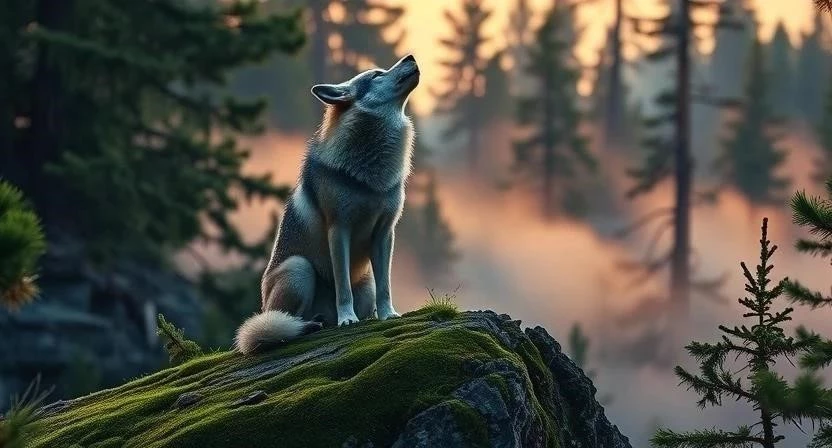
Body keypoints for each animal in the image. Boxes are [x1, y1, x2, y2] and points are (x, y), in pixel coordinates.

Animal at [234, 55, 420, 355]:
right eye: (377, 75)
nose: (411, 56)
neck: (369, 179)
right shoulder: (339, 230)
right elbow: (342, 286)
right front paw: (348, 319)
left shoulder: (385, 234)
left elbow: (386, 287)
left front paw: (389, 314)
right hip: (299, 269)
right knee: (284, 323)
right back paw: (312, 325)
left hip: (365, 284)